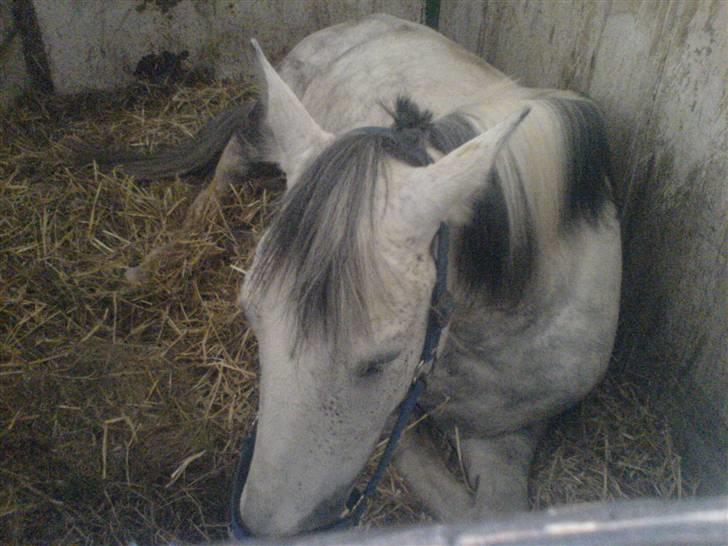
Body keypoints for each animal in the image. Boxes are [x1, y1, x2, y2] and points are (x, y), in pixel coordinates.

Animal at [100, 13, 621, 537]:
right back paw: (155, 261)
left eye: (379, 363)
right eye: (251, 320)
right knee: (225, 170)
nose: (263, 528)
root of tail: (362, 21)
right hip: (270, 126)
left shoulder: (513, 431)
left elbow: (492, 512)